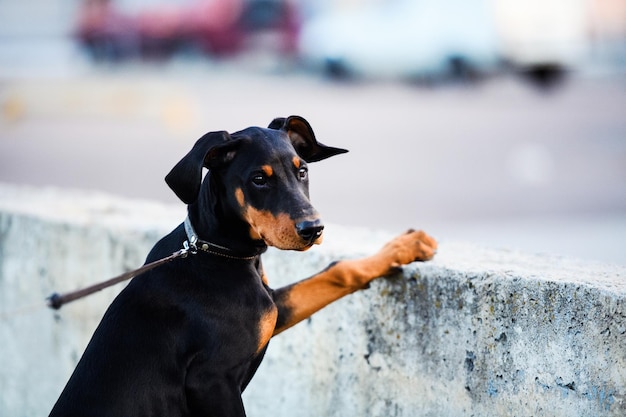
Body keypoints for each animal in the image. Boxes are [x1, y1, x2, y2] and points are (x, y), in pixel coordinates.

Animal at [50, 115, 434, 414]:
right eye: (259, 179)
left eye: (303, 172)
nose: (313, 229)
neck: (214, 251)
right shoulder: (212, 382)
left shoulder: (270, 310)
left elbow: (337, 271)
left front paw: (407, 245)